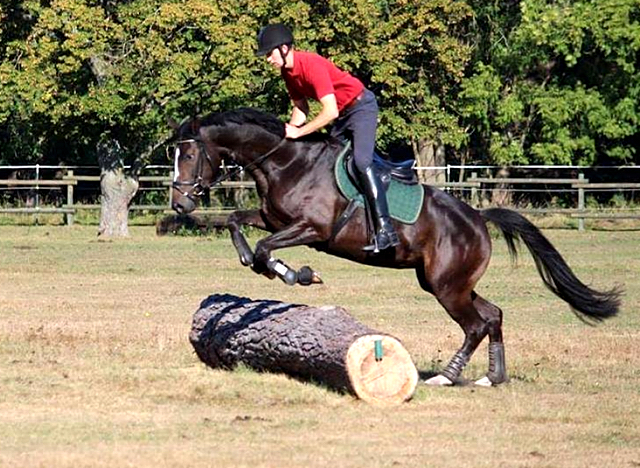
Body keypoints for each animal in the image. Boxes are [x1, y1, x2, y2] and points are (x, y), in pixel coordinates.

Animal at [169, 107, 620, 388]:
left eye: (188, 155)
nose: (179, 204)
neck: (287, 162)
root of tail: (478, 218)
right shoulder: (275, 220)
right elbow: (237, 223)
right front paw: (260, 265)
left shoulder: (313, 228)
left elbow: (266, 247)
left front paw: (295, 273)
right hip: (446, 282)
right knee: (493, 315)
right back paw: (492, 376)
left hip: (446, 286)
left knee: (475, 324)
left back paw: (446, 376)